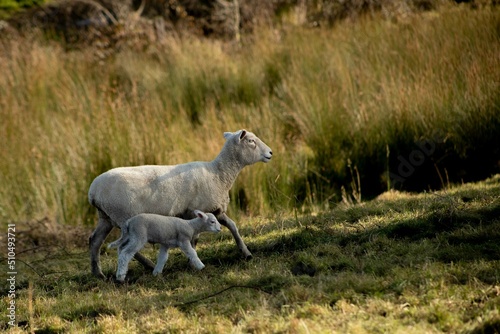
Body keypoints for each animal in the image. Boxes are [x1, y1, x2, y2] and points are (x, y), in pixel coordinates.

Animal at [88, 129, 272, 278]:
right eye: (251, 141)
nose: (270, 152)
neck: (219, 174)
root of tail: (93, 191)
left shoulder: (215, 209)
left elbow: (233, 226)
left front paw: (246, 252)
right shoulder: (196, 210)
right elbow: (195, 239)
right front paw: (192, 262)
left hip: (106, 217)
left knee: (94, 240)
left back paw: (98, 273)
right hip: (123, 216)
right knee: (125, 246)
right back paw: (148, 265)